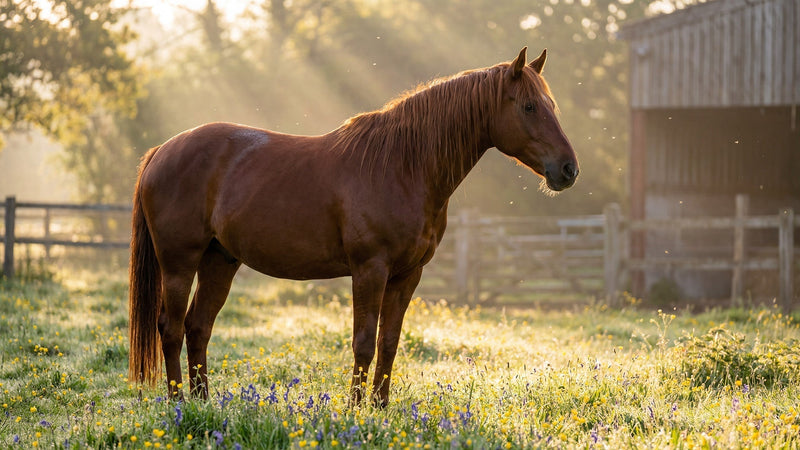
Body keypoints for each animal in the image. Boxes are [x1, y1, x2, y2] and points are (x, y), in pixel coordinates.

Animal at [128, 47, 578, 406]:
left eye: (553, 105)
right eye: (529, 107)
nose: (568, 170)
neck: (402, 165)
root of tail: (161, 150)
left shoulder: (407, 275)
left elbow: (389, 342)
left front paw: (379, 408)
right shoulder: (369, 270)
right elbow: (363, 342)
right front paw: (355, 409)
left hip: (219, 261)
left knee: (198, 327)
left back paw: (204, 402)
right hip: (179, 263)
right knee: (170, 328)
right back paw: (178, 402)